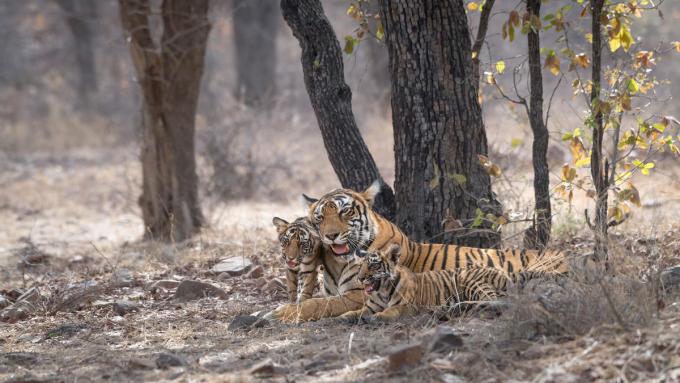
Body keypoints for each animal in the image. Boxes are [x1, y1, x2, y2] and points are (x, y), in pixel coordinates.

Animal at [340, 244, 552, 322]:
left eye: (374, 265)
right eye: (360, 266)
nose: (360, 278)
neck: (382, 290)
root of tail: (501, 271)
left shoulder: (407, 307)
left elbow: (391, 311)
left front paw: (378, 317)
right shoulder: (369, 306)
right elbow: (356, 312)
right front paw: (342, 317)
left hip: (471, 281)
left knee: (496, 300)